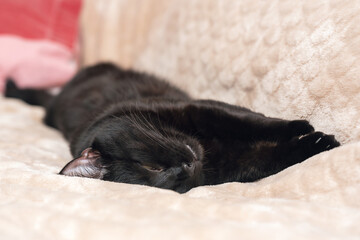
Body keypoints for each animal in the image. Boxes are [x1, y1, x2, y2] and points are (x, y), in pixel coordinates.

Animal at [5, 62, 340, 193]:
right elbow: (273, 159)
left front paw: (299, 124)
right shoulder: (233, 167)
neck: (207, 148)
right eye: (159, 174)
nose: (185, 165)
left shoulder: (200, 109)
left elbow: (252, 120)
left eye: (149, 165)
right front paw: (317, 144)